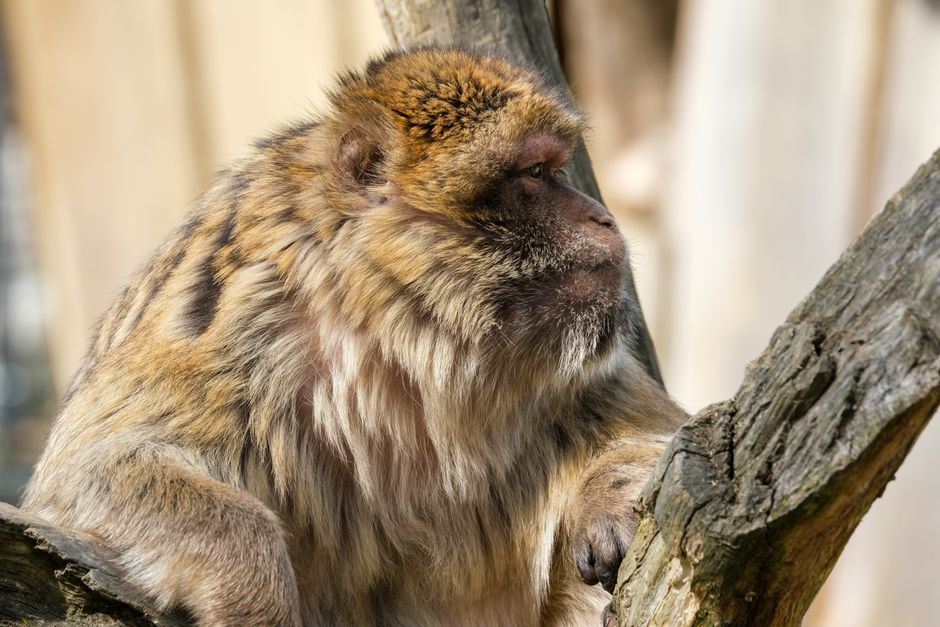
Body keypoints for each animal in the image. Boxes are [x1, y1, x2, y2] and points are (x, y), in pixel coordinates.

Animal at [22, 46, 687, 626]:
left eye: (556, 169)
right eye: (534, 173)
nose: (605, 218)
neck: (405, 337)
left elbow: (661, 435)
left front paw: (611, 496)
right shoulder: (239, 328)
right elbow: (82, 475)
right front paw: (254, 595)